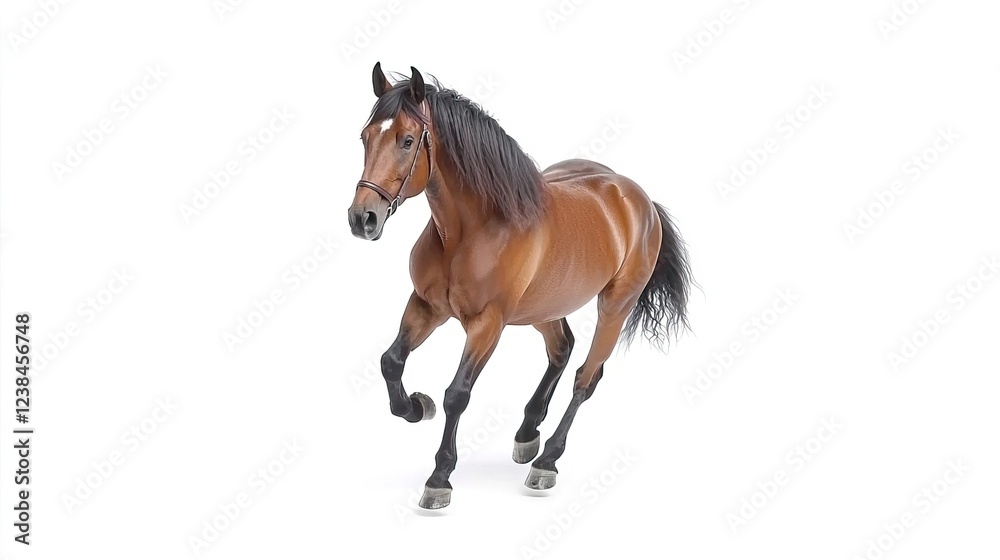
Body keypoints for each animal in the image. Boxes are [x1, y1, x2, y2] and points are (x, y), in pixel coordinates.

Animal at [348, 63, 692, 509]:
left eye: (407, 141)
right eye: (365, 136)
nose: (362, 218)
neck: (472, 229)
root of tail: (639, 200)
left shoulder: (487, 325)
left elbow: (457, 394)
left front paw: (440, 477)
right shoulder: (426, 306)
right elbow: (391, 362)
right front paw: (417, 407)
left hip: (615, 306)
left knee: (585, 378)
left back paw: (547, 461)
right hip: (544, 307)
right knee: (563, 350)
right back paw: (528, 433)